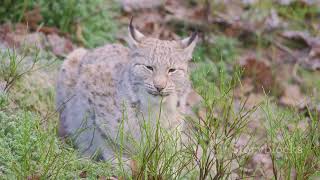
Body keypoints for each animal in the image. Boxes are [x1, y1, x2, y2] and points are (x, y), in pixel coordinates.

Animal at [57, 19, 198, 164]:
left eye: (172, 70)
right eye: (149, 67)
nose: (159, 87)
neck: (153, 108)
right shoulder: (89, 83)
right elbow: (104, 134)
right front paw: (119, 160)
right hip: (73, 58)